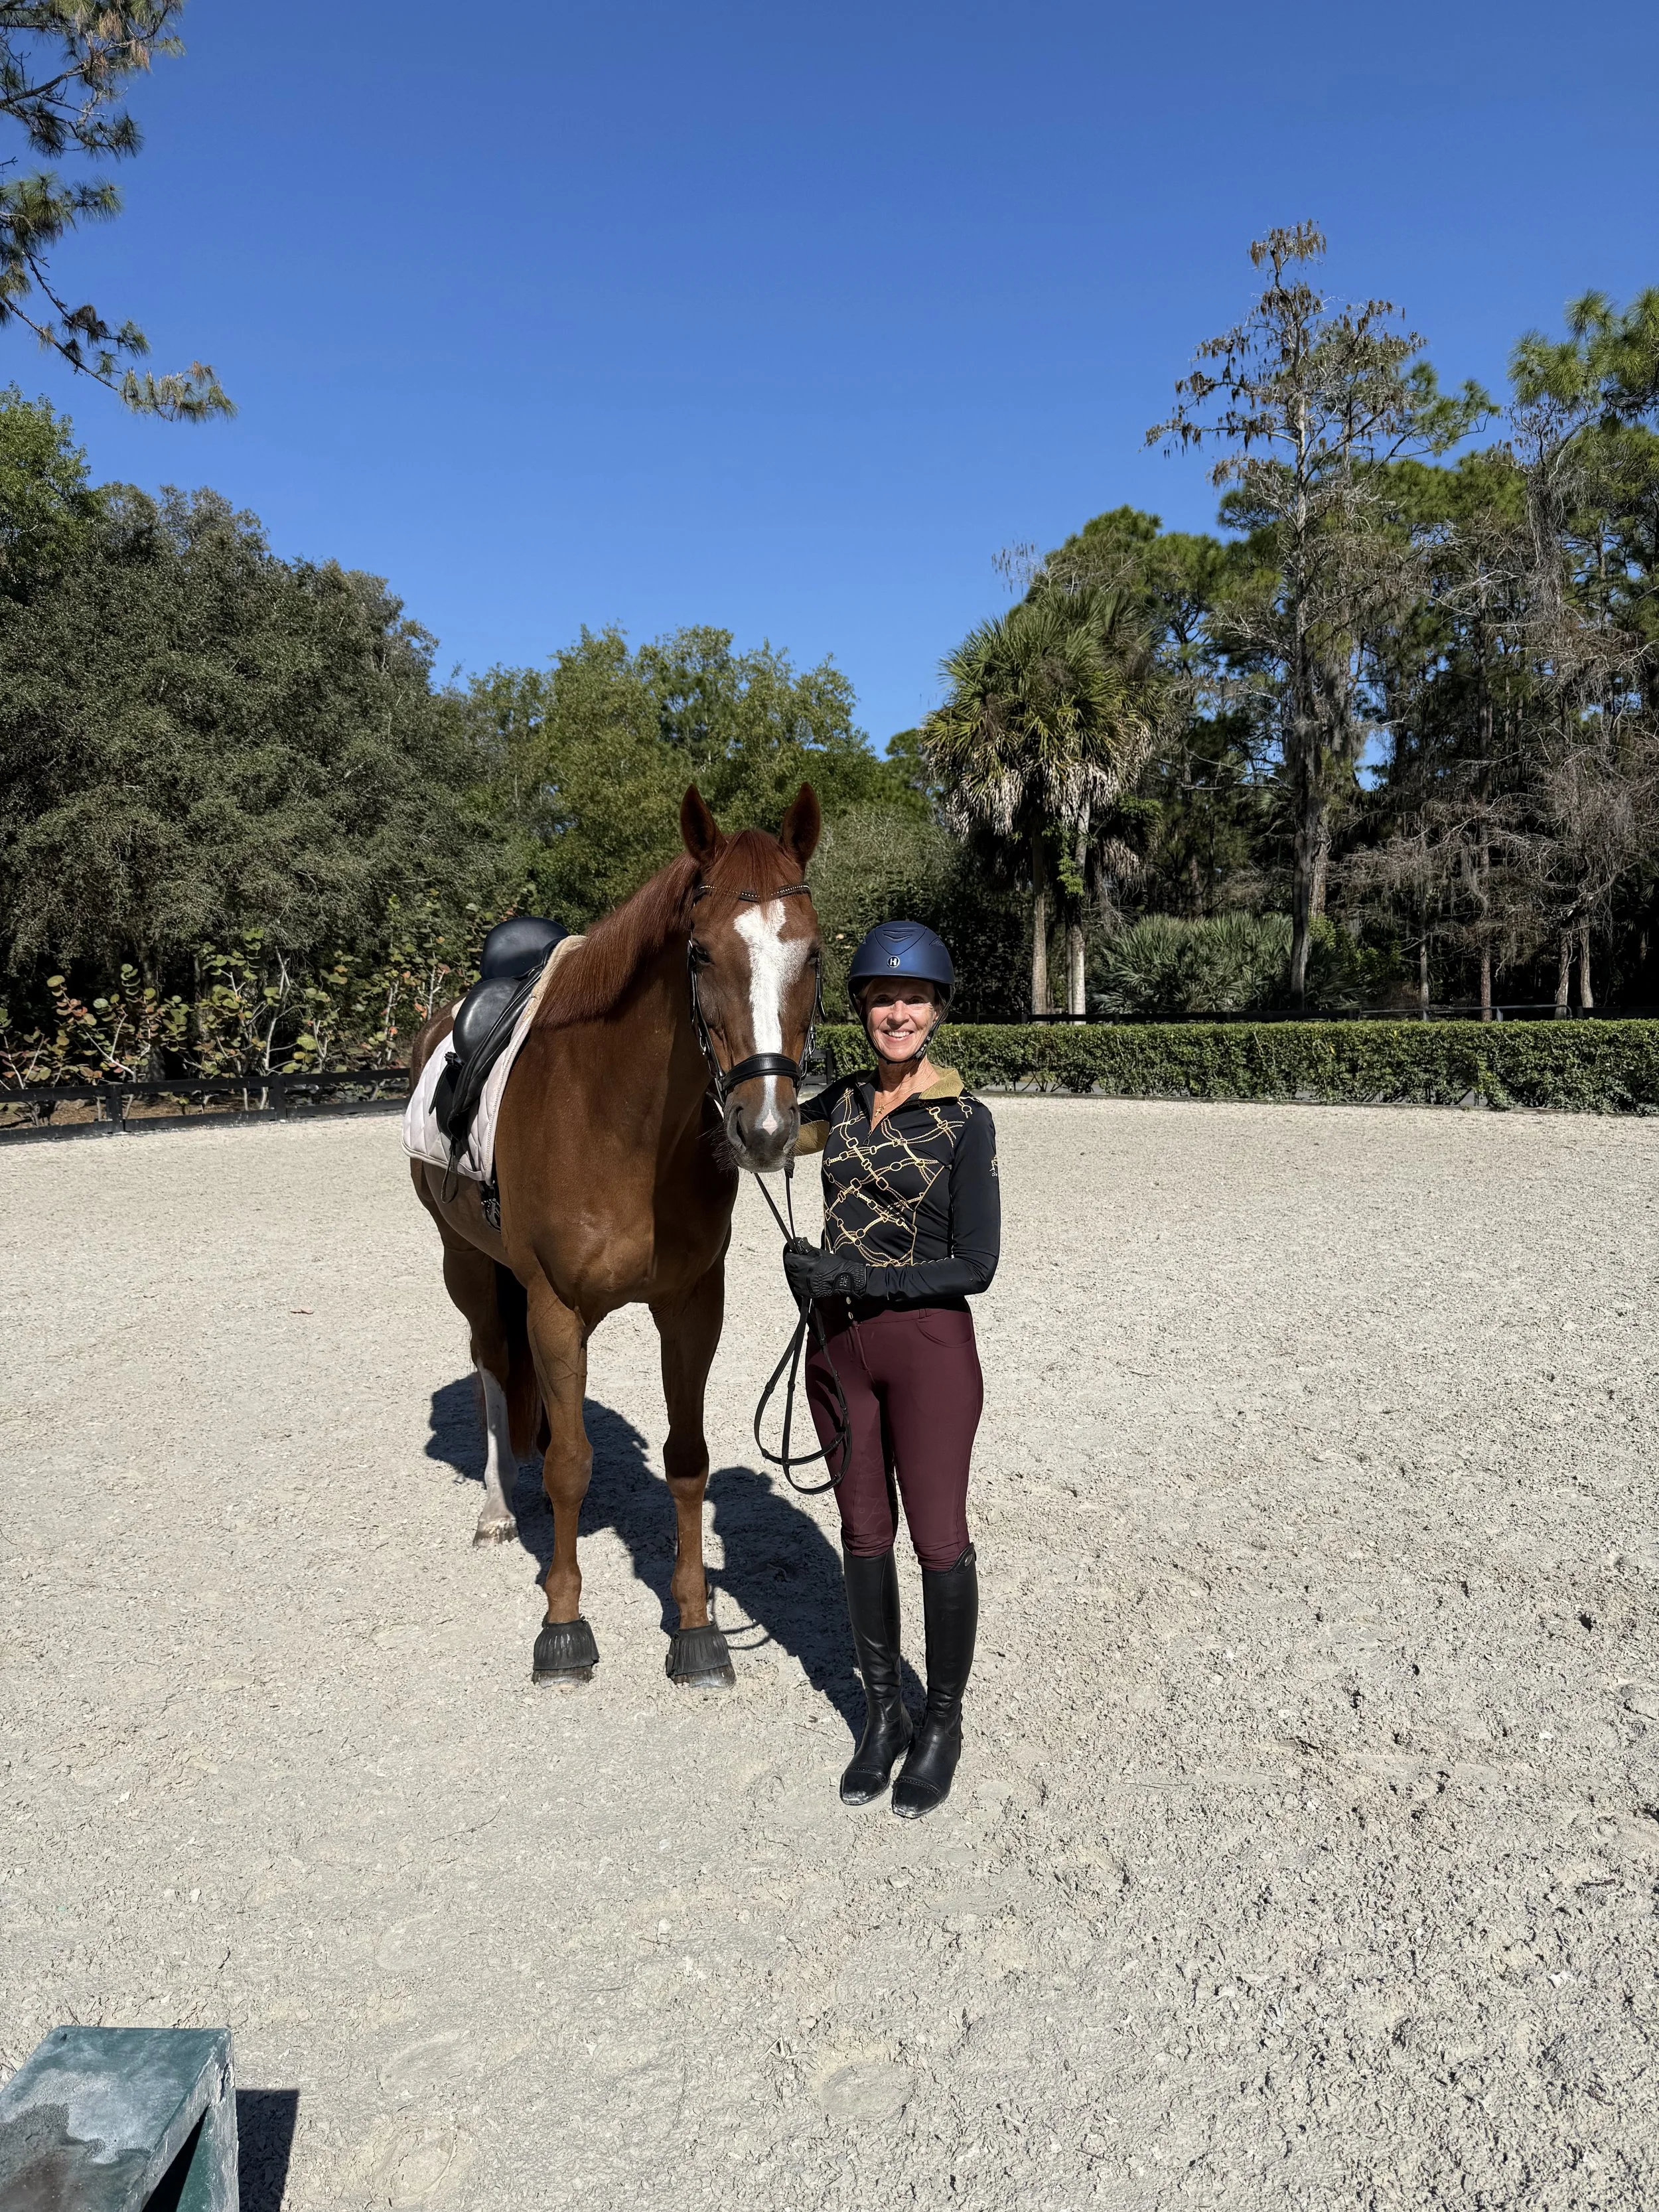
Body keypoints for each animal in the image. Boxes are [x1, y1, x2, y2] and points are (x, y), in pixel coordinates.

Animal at [409, 783, 823, 1687]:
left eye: (812, 955)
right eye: (698, 954)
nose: (766, 1130)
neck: (618, 1123)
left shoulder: (692, 1308)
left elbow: (686, 1460)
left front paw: (696, 1627)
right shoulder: (553, 1307)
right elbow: (569, 1464)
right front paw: (562, 1625)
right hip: (469, 1269)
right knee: (490, 1369)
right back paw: (497, 1510)